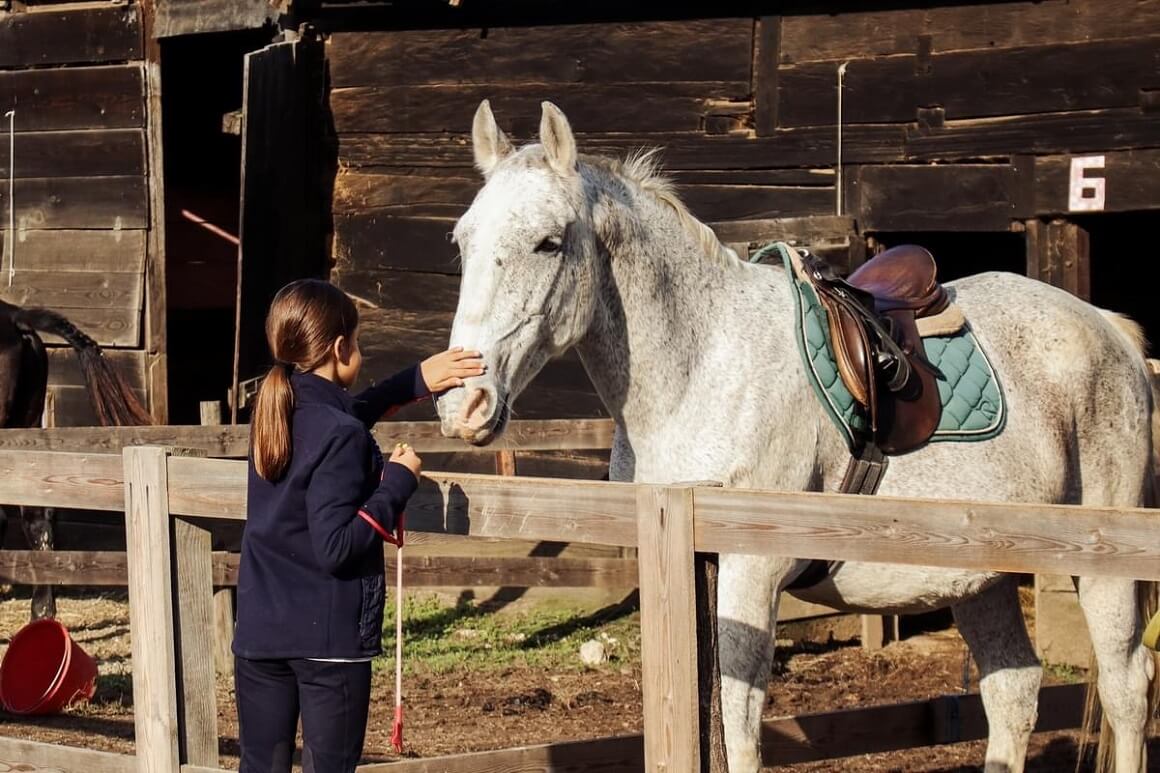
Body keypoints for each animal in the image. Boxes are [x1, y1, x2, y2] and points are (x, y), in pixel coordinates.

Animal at [436, 99, 1160, 766]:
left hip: (1101, 565)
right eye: (463, 242)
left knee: (1126, 690)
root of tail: (1109, 329)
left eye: (548, 241)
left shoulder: (749, 571)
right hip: (982, 573)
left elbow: (738, 733)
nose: (463, 402)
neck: (702, 364)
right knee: (1013, 692)